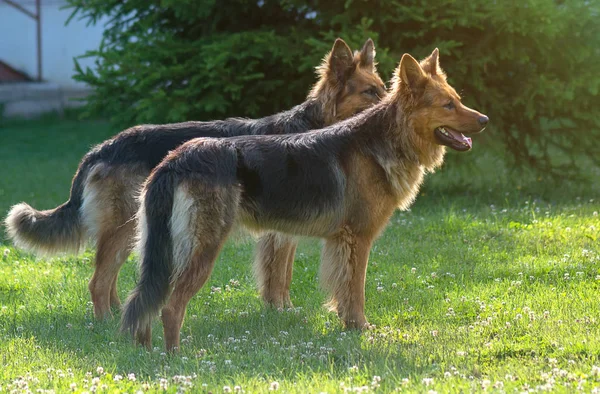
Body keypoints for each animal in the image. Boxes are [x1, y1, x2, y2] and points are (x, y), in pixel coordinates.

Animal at [4, 38, 386, 318]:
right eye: (370, 92)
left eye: (383, 87)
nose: (390, 107)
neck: (313, 127)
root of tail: (102, 148)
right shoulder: (279, 235)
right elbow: (278, 276)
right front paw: (281, 311)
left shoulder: (283, 231)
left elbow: (281, 276)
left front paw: (281, 309)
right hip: (126, 226)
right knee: (97, 282)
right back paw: (106, 324)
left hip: (135, 229)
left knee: (107, 279)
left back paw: (116, 314)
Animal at [122, 48, 488, 350]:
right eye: (448, 105)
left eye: (457, 99)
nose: (485, 120)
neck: (384, 140)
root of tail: (174, 160)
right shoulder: (357, 240)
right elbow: (355, 291)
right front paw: (360, 328)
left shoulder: (336, 243)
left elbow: (339, 291)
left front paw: (347, 326)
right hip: (202, 249)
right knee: (170, 306)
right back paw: (175, 357)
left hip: (166, 253)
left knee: (144, 299)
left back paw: (146, 351)